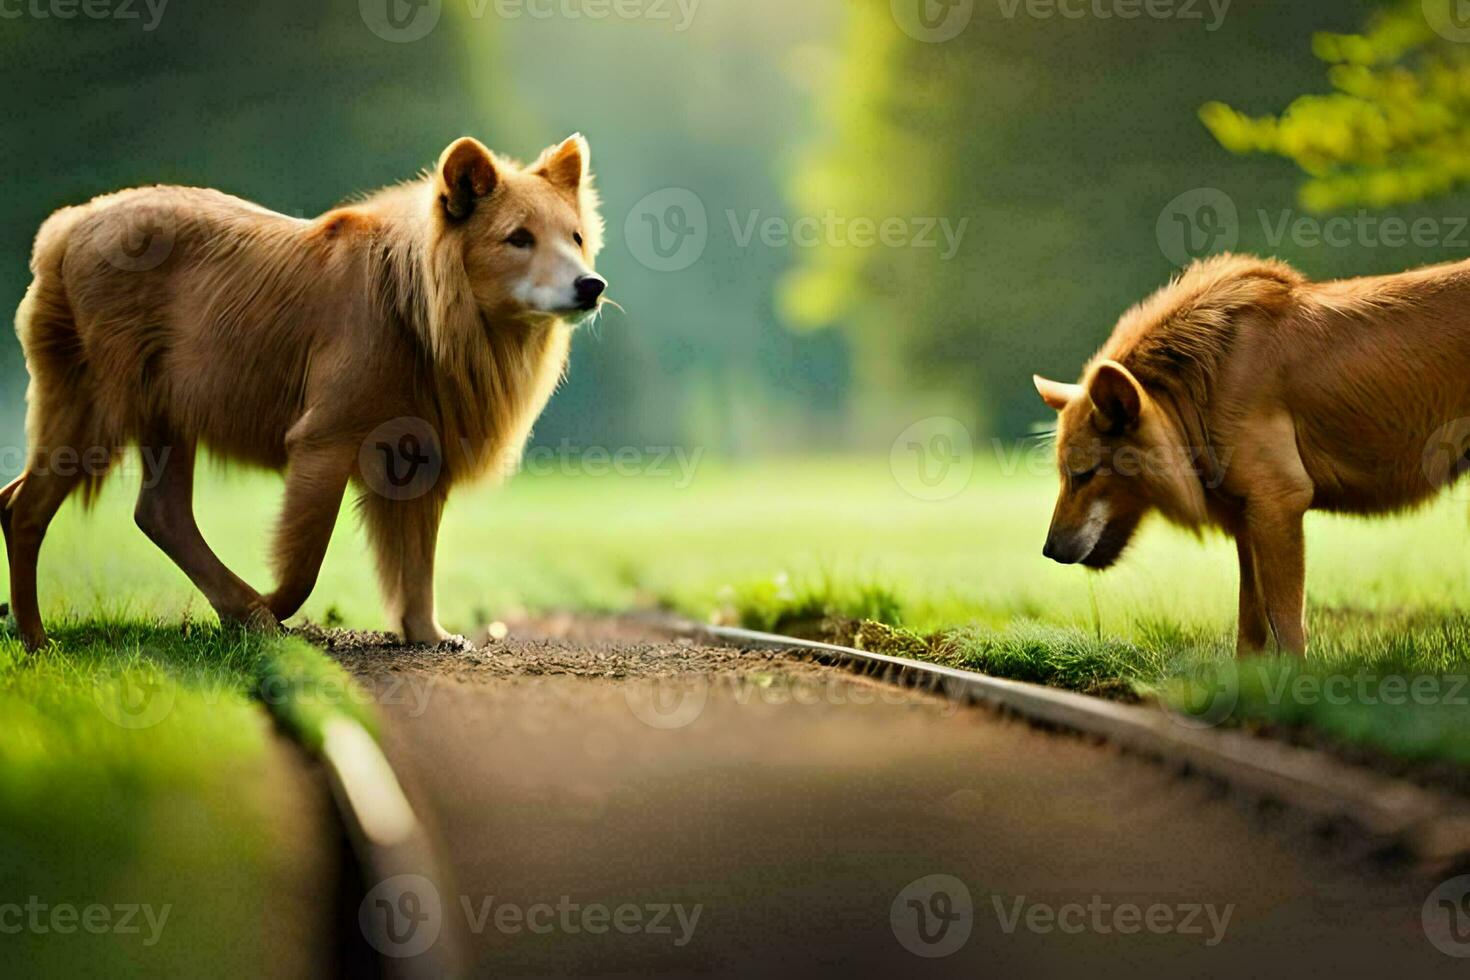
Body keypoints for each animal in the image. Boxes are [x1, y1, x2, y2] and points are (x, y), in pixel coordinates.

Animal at [2, 132, 605, 652]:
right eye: (519, 238)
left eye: (575, 238)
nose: (591, 285)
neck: (418, 307)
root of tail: (66, 227)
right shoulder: (324, 439)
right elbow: (305, 567)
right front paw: (265, 610)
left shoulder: (419, 456)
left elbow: (416, 568)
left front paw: (427, 635)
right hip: (99, 407)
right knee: (24, 509)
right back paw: (37, 638)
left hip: (164, 410)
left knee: (158, 514)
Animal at [1034, 252, 1470, 655]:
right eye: (1064, 474)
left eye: (1084, 474)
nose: (1048, 551)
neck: (1204, 382)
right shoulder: (1249, 521)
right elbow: (1250, 631)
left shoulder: (1280, 503)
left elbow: (1286, 626)